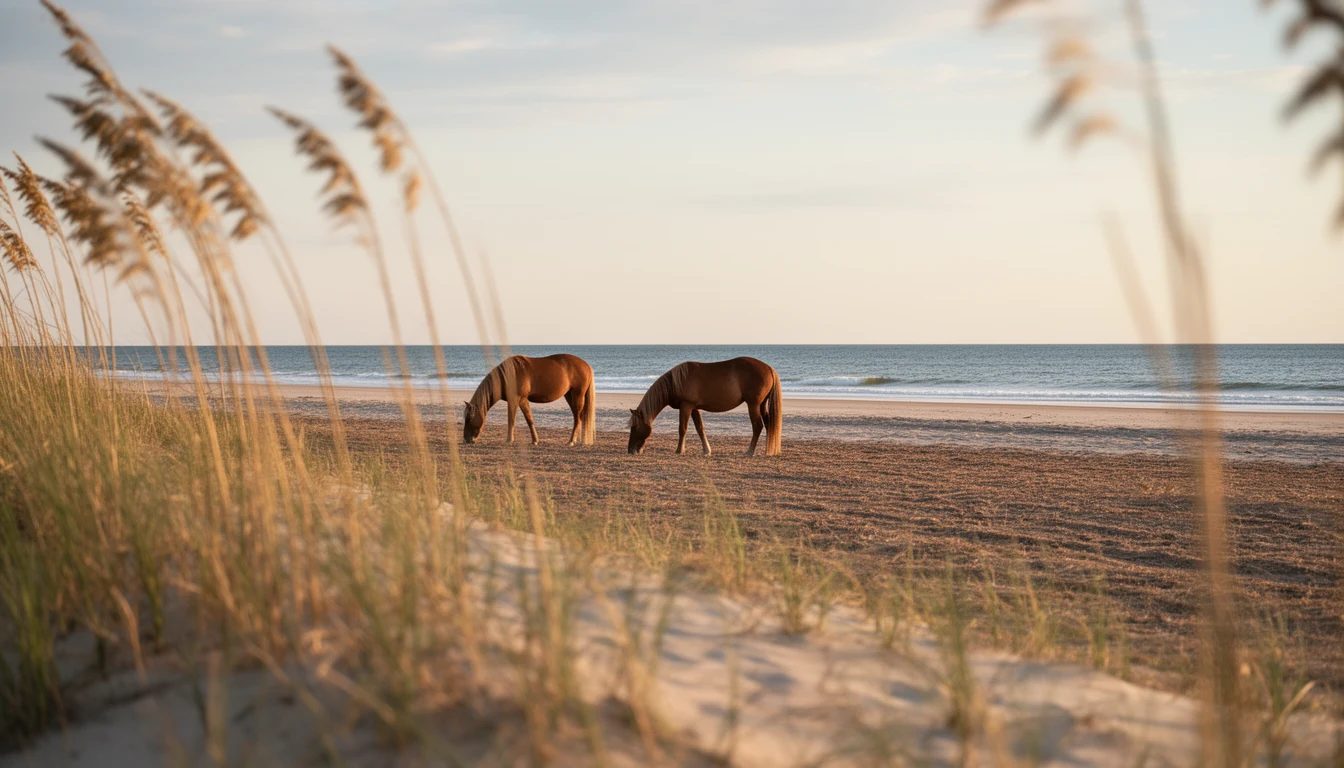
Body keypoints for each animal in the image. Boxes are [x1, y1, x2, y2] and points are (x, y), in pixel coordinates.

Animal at [463, 354, 596, 446]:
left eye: (469, 418)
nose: (466, 439)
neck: (508, 375)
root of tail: (587, 366)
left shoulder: (515, 400)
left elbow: (511, 420)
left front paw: (509, 440)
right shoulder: (522, 401)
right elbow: (529, 420)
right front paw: (535, 440)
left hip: (578, 395)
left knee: (578, 419)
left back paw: (571, 441)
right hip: (569, 395)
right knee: (577, 417)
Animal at [627, 357, 781, 456]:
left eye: (635, 426)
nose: (630, 450)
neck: (676, 382)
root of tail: (769, 368)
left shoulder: (686, 406)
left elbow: (682, 429)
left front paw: (679, 450)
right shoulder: (694, 408)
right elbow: (700, 428)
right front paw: (707, 450)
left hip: (753, 405)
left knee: (757, 426)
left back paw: (749, 452)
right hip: (761, 405)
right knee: (768, 424)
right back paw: (768, 451)